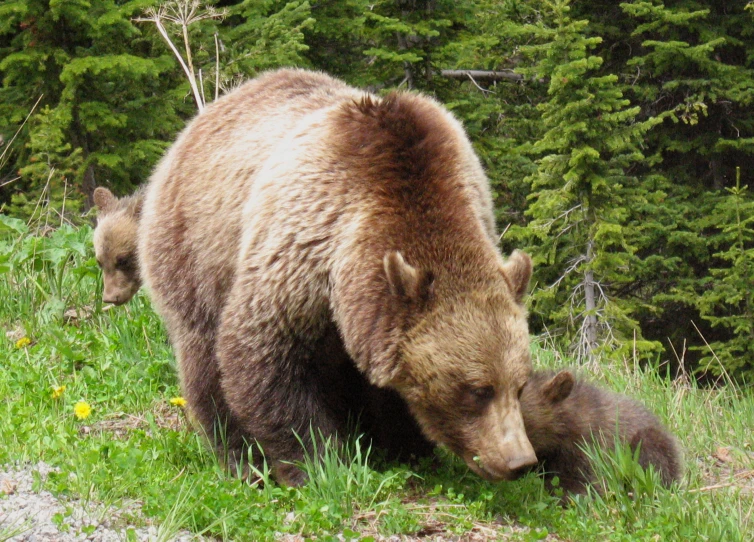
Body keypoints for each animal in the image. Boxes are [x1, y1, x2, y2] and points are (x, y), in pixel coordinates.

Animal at [137, 66, 536, 486]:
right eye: (478, 390)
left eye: (520, 384)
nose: (519, 461)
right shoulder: (304, 245)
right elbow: (264, 353)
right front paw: (319, 461)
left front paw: (404, 446)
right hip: (195, 248)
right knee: (203, 357)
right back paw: (241, 457)